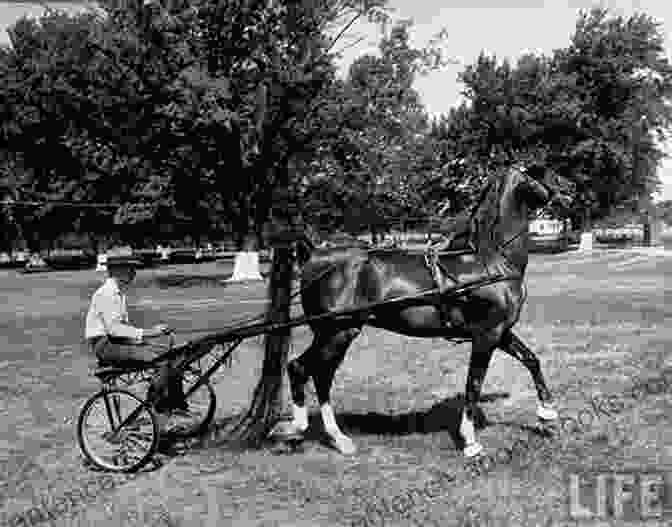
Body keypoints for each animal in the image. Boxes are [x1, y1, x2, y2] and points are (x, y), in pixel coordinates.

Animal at [266, 164, 560, 458]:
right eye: (544, 174)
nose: (565, 192)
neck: (491, 262)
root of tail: (315, 255)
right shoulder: (486, 335)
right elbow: (474, 383)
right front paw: (470, 441)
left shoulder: (501, 332)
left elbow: (531, 360)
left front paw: (547, 414)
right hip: (336, 333)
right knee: (301, 369)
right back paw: (297, 429)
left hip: (336, 334)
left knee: (320, 375)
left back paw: (338, 439)